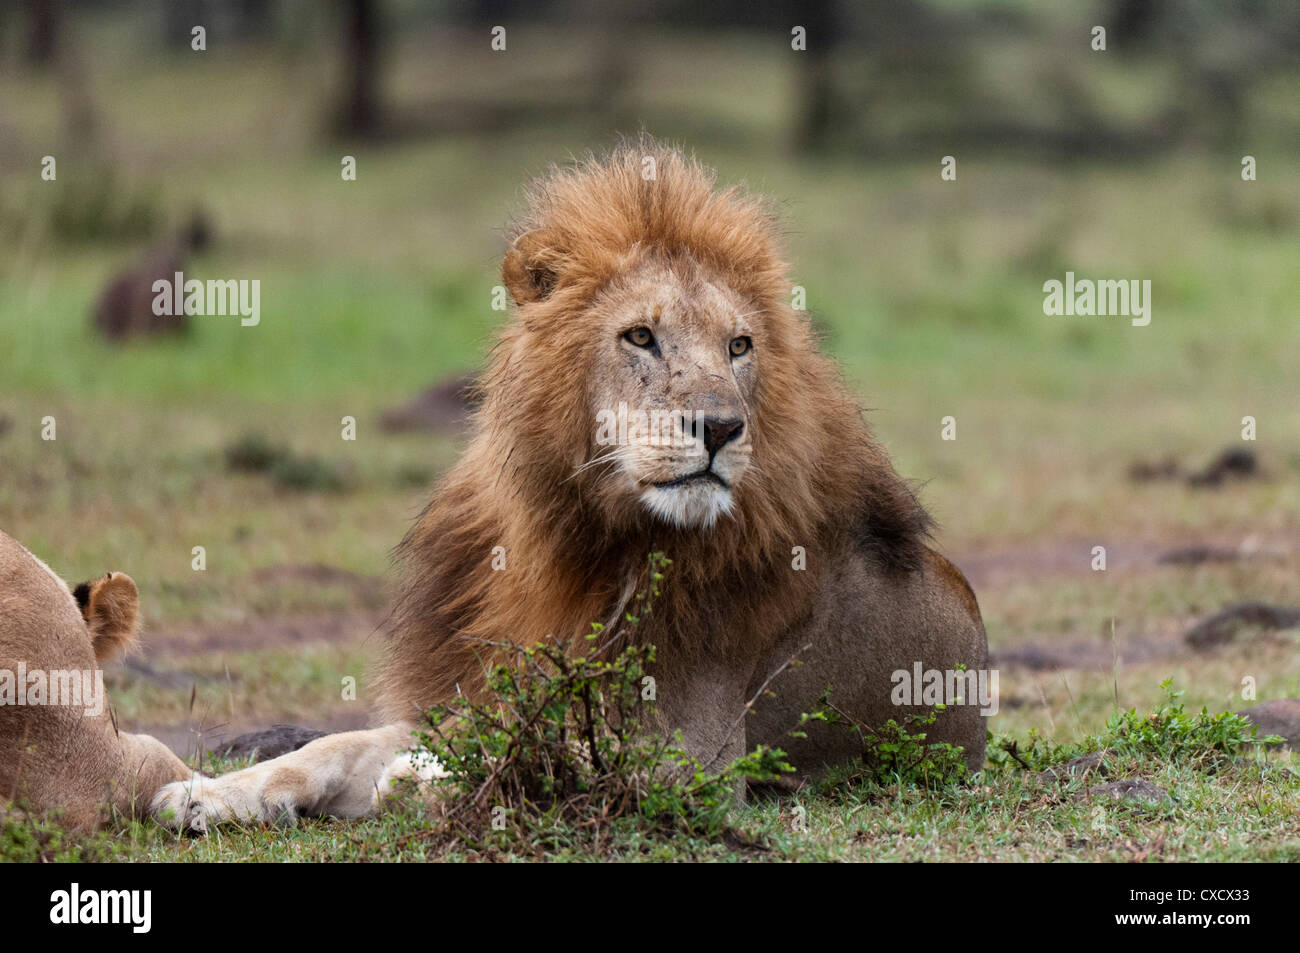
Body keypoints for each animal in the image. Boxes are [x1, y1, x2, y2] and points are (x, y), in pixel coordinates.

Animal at [5, 138, 988, 832]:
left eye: (740, 346)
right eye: (640, 336)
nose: (720, 427)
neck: (578, 531)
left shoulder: (696, 760)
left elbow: (533, 753)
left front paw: (421, 779)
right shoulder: (465, 686)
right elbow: (331, 747)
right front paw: (212, 792)